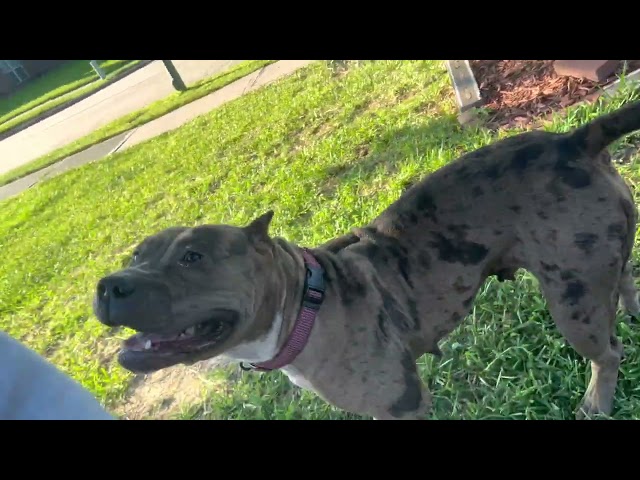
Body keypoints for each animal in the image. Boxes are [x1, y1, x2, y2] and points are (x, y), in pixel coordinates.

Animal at [94, 102, 640, 420]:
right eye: (137, 255)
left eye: (193, 257)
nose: (108, 285)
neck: (304, 304)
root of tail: (573, 140)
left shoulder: (403, 403)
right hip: (603, 264)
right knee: (627, 283)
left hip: (572, 300)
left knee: (607, 353)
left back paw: (596, 402)